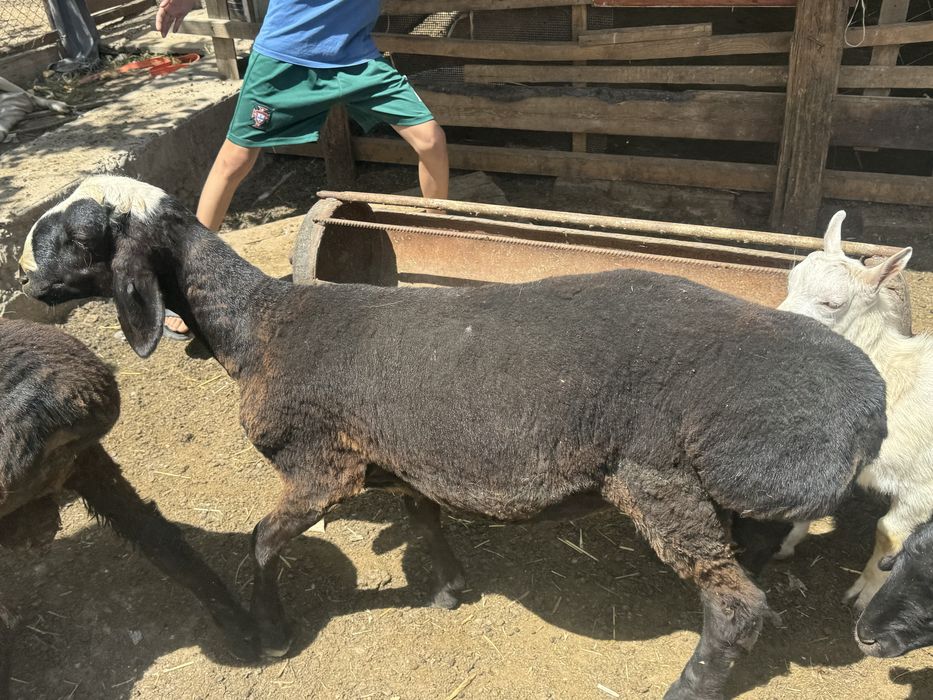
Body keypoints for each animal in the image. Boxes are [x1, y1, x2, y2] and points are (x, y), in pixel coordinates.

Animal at [0, 318, 259, 696]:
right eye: (45, 468)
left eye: (58, 461)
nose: (42, 529)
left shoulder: (85, 459)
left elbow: (152, 533)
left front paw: (249, 632)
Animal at [778, 211, 933, 610]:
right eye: (791, 280)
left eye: (833, 304)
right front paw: (787, 542)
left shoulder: (923, 488)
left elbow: (888, 532)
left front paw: (866, 593)